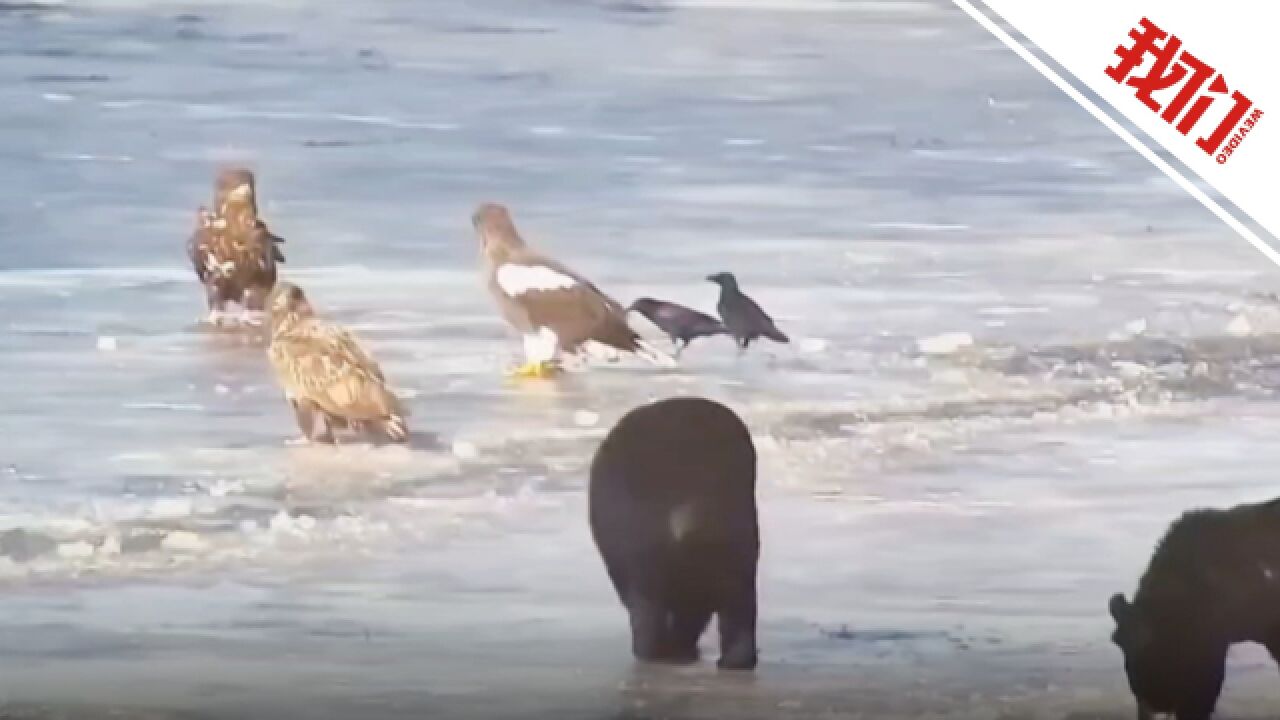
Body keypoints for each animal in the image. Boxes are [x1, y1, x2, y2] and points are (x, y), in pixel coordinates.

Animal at [588, 392, 757, 666]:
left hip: (645, 554)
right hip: (735, 547)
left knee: (649, 610)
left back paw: (655, 652)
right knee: (736, 603)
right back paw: (733, 660)